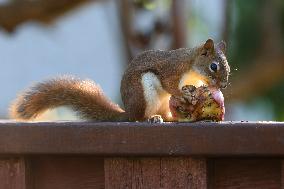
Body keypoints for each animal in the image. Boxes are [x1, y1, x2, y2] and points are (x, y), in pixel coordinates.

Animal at [10, 39, 230, 122]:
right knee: (138, 118)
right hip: (143, 94)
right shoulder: (172, 69)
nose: (223, 85)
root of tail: (128, 111)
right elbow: (169, 85)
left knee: (164, 114)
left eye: (227, 67)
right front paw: (183, 94)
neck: (192, 66)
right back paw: (149, 118)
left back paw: (169, 117)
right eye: (214, 66)